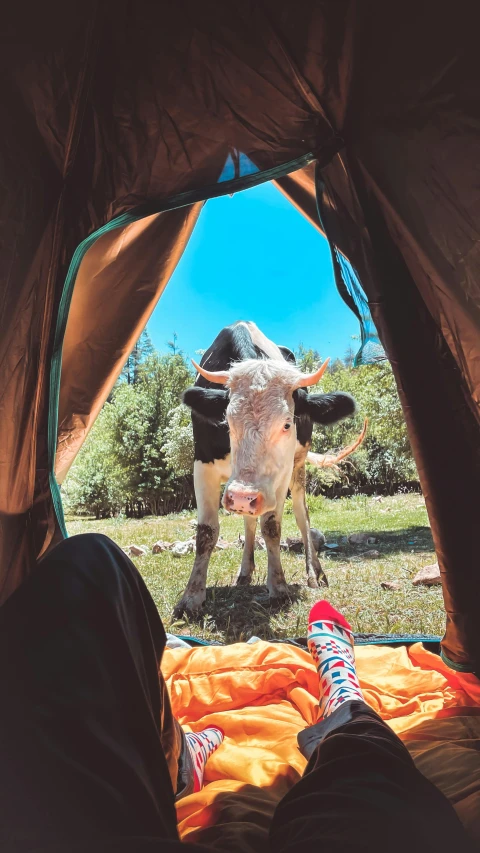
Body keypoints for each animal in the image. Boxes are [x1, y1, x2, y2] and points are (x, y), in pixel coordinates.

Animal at [174, 322, 366, 616]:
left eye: (287, 423)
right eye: (227, 421)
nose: (243, 496)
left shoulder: (281, 474)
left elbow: (272, 526)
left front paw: (278, 587)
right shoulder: (203, 465)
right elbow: (206, 532)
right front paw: (192, 597)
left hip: (297, 466)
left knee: (301, 514)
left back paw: (314, 572)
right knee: (249, 520)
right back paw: (245, 572)